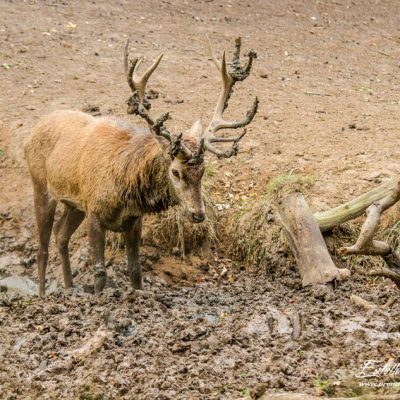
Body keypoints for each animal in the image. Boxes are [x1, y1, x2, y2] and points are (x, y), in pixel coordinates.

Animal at [25, 37, 258, 296]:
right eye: (175, 171)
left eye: (203, 171)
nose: (198, 214)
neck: (124, 184)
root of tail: (32, 132)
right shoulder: (94, 211)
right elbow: (99, 272)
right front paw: (98, 297)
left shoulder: (133, 219)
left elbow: (136, 269)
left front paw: (138, 292)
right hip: (40, 185)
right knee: (43, 246)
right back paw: (43, 294)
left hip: (74, 203)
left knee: (60, 234)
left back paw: (69, 287)